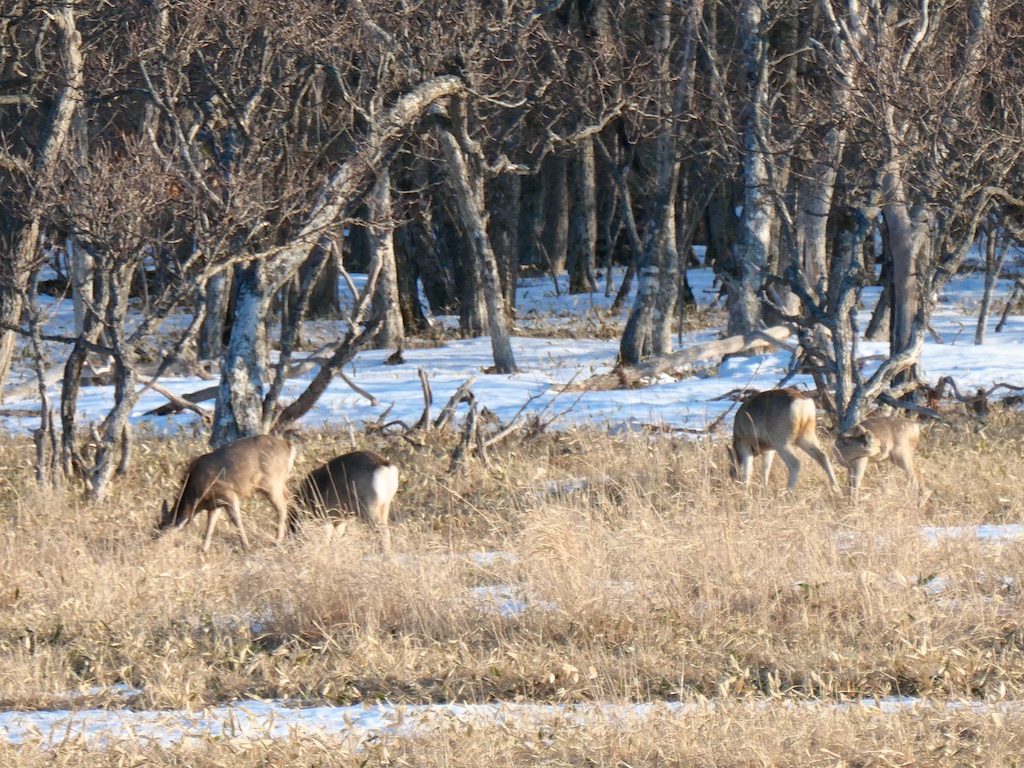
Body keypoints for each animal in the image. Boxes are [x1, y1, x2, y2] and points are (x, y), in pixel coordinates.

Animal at [158, 435, 295, 553]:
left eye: (164, 531)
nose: (157, 544)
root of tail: (288, 446)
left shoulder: (227, 493)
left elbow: (236, 519)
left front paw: (246, 547)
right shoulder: (214, 504)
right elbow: (210, 525)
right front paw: (204, 549)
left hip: (271, 482)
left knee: (282, 508)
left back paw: (277, 541)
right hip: (280, 482)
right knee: (291, 498)